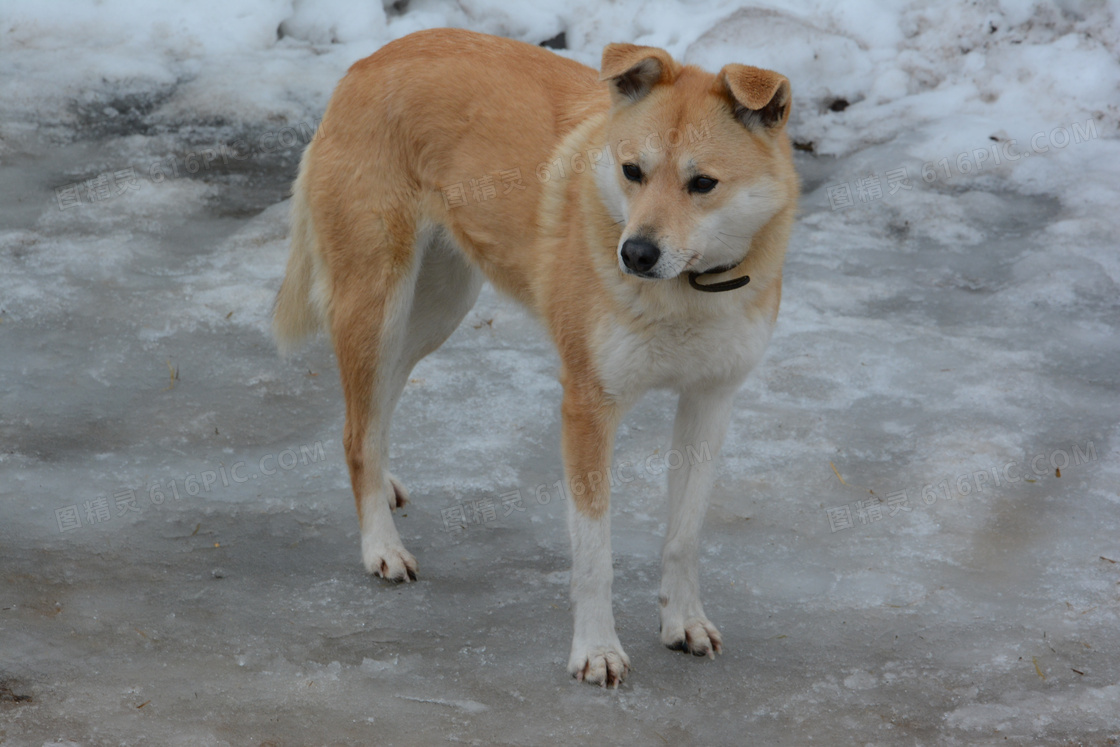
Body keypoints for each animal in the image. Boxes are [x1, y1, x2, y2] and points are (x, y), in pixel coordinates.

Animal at [271, 27, 797, 685]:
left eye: (703, 184)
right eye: (632, 171)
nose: (635, 254)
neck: (687, 291)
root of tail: (369, 60)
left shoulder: (711, 401)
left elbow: (683, 535)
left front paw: (683, 621)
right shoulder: (588, 409)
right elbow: (595, 555)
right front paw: (596, 650)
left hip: (438, 309)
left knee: (372, 412)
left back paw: (384, 488)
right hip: (377, 302)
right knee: (355, 430)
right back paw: (381, 546)